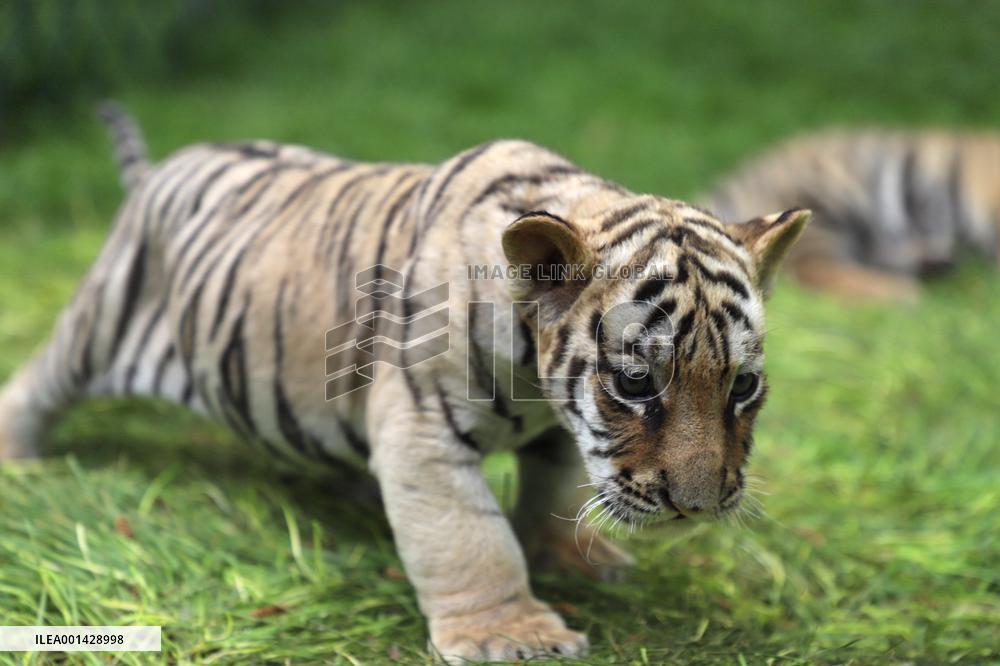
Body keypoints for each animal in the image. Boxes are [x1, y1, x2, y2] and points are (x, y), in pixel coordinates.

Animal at [0, 103, 808, 663]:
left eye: (742, 386)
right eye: (638, 383)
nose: (696, 507)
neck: (536, 379)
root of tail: (159, 171)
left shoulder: (558, 430)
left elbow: (553, 489)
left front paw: (569, 556)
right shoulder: (421, 426)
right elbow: (470, 540)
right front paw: (511, 633)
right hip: (103, 318)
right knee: (38, 380)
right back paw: (19, 457)